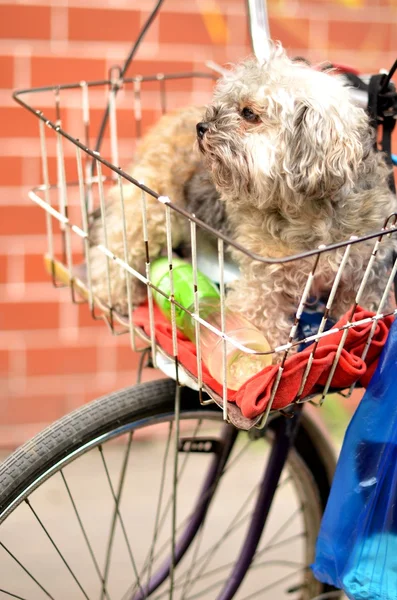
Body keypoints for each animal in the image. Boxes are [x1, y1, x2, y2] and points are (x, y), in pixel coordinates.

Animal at [88, 44, 394, 354]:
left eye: (248, 113)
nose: (201, 126)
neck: (310, 214)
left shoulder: (363, 277)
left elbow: (356, 315)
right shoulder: (262, 285)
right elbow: (265, 328)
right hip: (147, 210)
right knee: (114, 251)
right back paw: (111, 292)